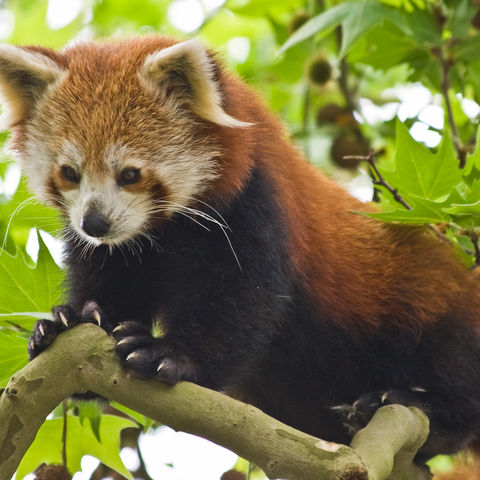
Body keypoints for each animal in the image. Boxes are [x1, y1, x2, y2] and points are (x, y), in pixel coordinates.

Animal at [0, 35, 480, 466]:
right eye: (69, 172)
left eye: (130, 174)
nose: (95, 223)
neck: (163, 234)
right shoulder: (118, 251)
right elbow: (106, 288)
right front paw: (69, 321)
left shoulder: (255, 203)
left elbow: (244, 300)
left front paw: (169, 355)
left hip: (437, 301)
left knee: (454, 364)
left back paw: (412, 407)